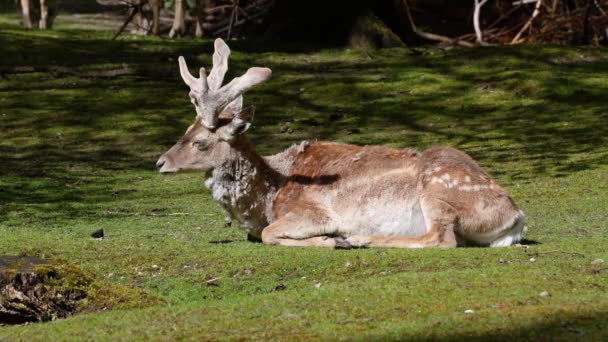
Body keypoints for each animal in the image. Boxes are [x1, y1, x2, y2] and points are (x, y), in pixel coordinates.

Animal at [154, 39, 524, 248]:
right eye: (184, 130)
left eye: (201, 142)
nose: (160, 162)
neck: (268, 197)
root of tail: (515, 216)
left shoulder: (311, 212)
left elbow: (269, 234)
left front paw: (329, 240)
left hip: (439, 191)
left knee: (443, 239)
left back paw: (356, 239)